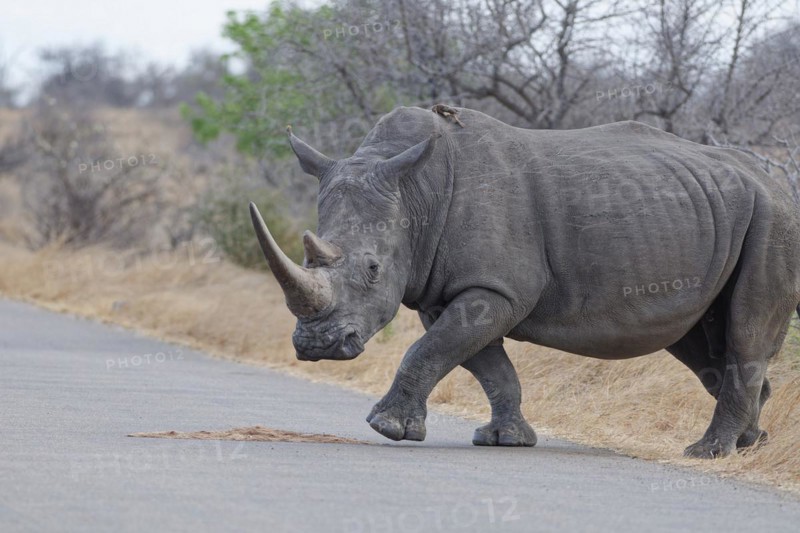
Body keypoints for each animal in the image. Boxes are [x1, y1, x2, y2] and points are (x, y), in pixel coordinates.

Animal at [249, 105, 800, 458]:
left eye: (372, 270)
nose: (318, 346)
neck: (415, 190)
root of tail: (777, 181)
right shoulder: (455, 292)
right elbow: (484, 364)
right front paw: (505, 440)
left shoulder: (496, 288)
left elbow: (429, 350)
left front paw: (387, 428)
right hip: (712, 216)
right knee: (700, 343)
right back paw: (748, 446)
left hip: (773, 219)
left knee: (745, 331)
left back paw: (707, 453)